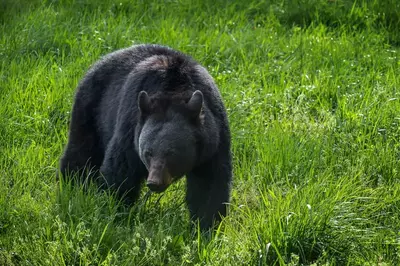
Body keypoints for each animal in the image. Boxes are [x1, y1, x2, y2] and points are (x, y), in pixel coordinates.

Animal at [61, 44, 233, 231]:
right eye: (148, 153)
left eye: (172, 153)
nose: (154, 182)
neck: (174, 91)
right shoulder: (130, 129)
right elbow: (121, 171)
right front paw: (114, 212)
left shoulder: (213, 140)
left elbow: (209, 184)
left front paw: (206, 226)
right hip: (91, 109)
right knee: (81, 152)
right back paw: (71, 185)